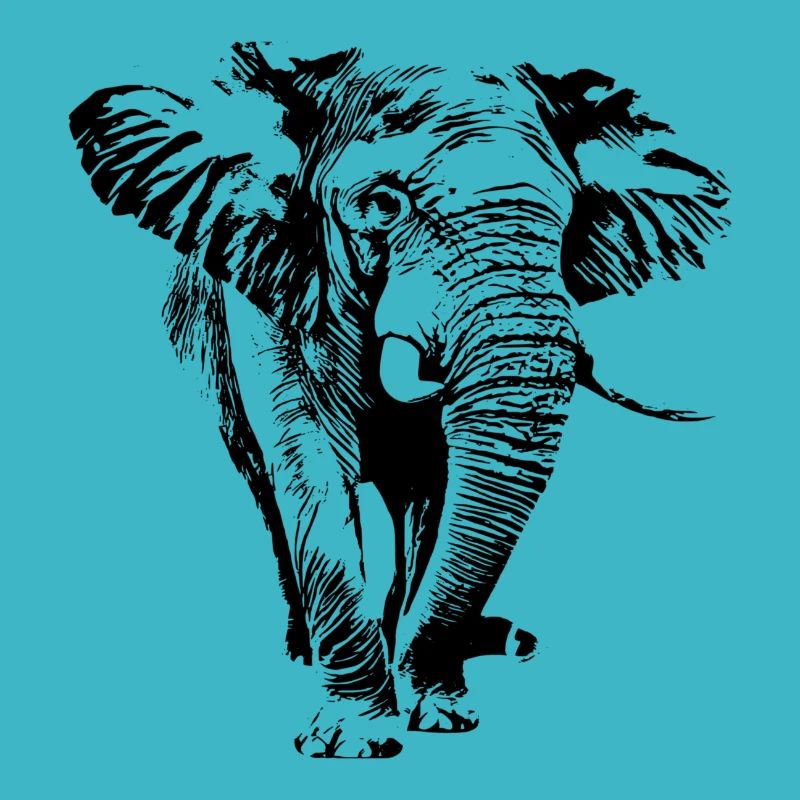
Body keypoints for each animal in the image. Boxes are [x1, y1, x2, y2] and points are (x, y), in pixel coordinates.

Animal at [68, 41, 729, 758]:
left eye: (570, 216)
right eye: (383, 204)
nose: (523, 643)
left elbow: (436, 486)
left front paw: (439, 715)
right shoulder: (270, 285)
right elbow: (310, 469)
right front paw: (351, 743)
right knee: (265, 488)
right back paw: (304, 652)